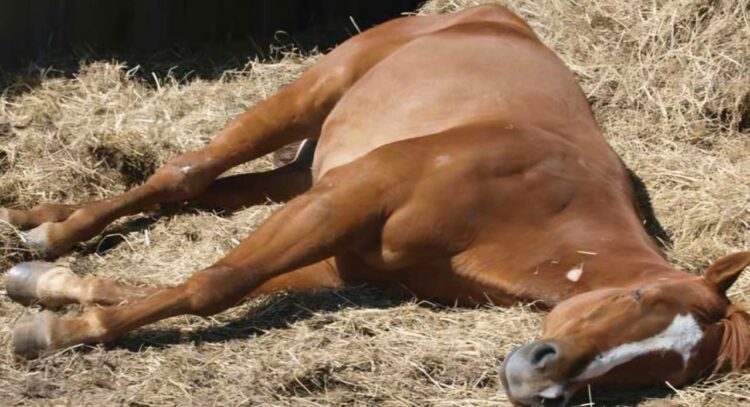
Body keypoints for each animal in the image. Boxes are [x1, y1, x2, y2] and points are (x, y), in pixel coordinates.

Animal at [2, 5, 748, 406]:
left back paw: (32, 222)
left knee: (218, 190)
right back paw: (46, 234)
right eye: (638, 298)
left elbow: (180, 284)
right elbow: (216, 284)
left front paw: (50, 295)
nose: (539, 379)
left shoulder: (348, 260)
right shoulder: (344, 202)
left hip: (301, 175)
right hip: (311, 93)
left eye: (663, 373)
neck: (537, 203)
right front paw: (52, 331)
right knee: (183, 175)